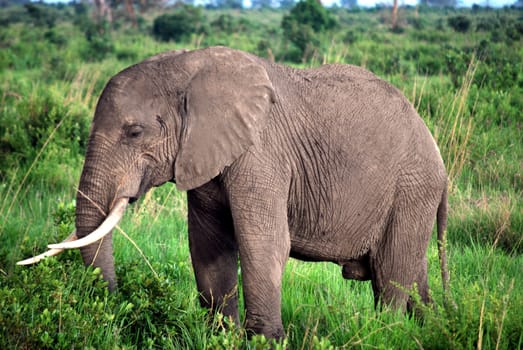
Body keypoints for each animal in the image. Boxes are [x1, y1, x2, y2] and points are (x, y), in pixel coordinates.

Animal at [18, 45, 448, 340]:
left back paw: (385, 334)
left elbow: (263, 241)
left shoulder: (262, 154)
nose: (112, 303)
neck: (188, 69)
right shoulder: (203, 156)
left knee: (390, 274)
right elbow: (208, 246)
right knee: (413, 276)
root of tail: (436, 151)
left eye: (135, 132)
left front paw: (266, 340)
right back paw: (430, 328)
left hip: (412, 189)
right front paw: (220, 336)